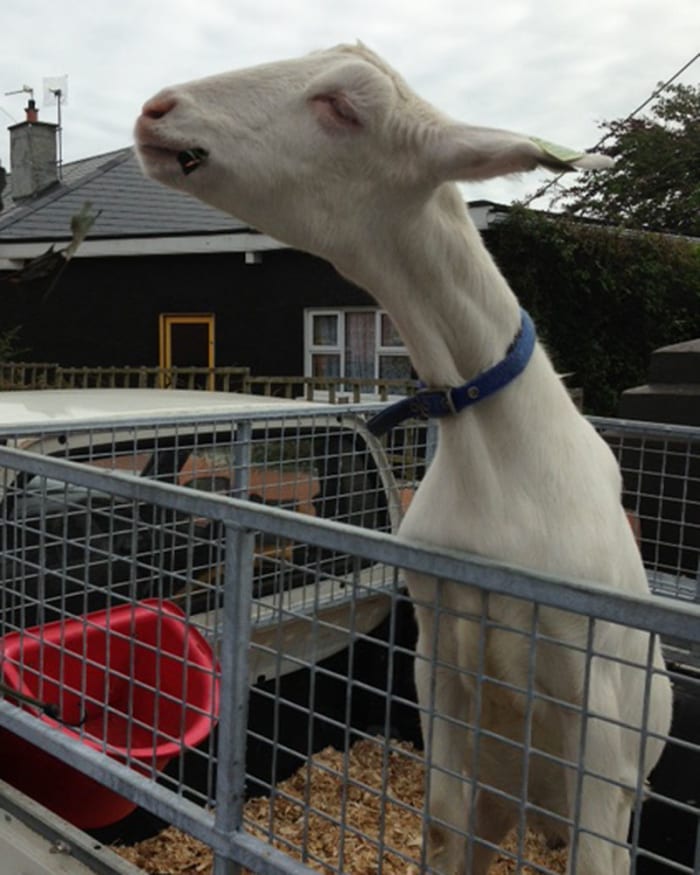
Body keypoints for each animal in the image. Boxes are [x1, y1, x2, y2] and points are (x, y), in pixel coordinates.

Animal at [135, 43, 672, 875]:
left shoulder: (602, 728)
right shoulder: (437, 661)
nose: (158, 111)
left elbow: (595, 847)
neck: (497, 453)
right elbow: (444, 822)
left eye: (344, 107)